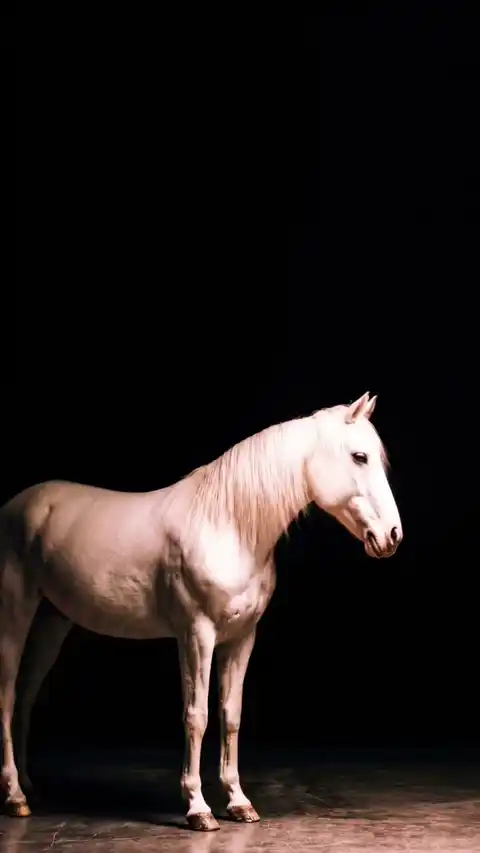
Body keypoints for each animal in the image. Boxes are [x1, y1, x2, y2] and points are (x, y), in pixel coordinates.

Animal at [0, 392, 402, 831]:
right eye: (359, 456)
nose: (392, 536)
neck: (227, 525)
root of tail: (14, 506)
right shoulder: (197, 635)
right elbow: (197, 715)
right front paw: (198, 807)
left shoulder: (242, 638)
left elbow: (231, 715)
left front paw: (239, 802)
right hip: (14, 613)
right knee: (7, 694)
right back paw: (14, 795)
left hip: (52, 623)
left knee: (26, 695)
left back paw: (29, 786)